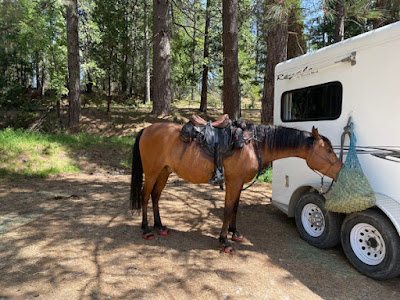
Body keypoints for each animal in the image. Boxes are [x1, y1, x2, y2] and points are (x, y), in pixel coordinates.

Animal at [130, 122, 342, 253]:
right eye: (328, 150)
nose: (341, 169)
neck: (252, 146)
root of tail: (146, 129)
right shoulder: (233, 181)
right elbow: (227, 209)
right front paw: (224, 242)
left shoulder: (238, 183)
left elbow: (235, 208)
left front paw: (235, 233)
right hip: (152, 172)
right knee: (145, 196)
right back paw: (146, 229)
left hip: (164, 172)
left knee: (156, 196)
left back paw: (160, 226)